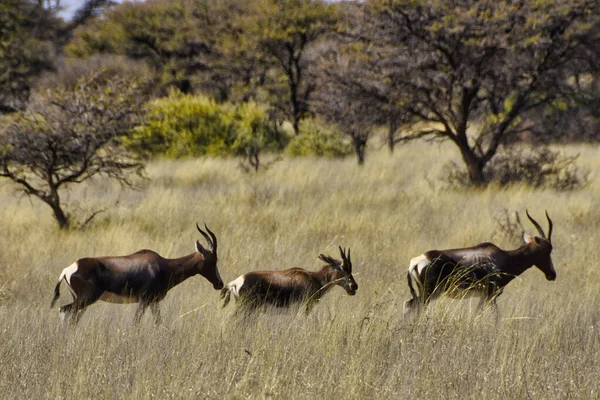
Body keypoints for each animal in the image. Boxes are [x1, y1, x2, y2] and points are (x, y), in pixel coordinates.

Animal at [49, 223, 223, 324]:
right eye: (213, 260)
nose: (219, 284)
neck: (162, 265)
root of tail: (68, 269)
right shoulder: (144, 301)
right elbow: (136, 322)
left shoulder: (153, 302)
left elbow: (158, 323)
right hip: (85, 299)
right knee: (63, 310)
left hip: (80, 300)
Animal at [406, 211, 556, 318]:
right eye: (548, 249)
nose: (552, 275)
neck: (504, 257)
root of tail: (416, 261)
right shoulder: (490, 296)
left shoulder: (486, 297)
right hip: (429, 293)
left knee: (408, 305)